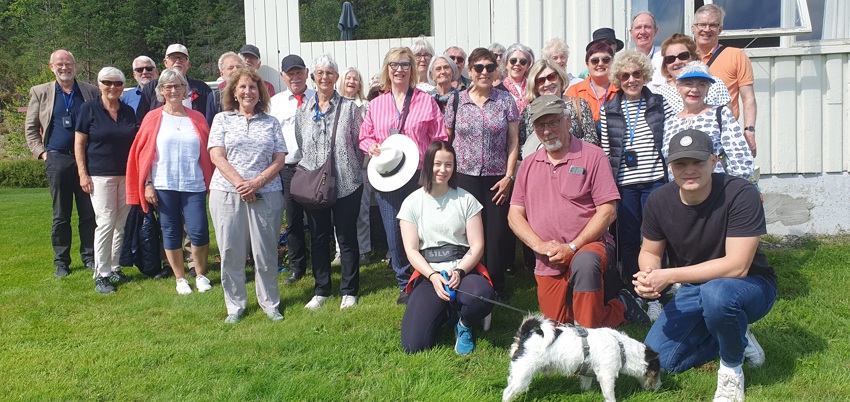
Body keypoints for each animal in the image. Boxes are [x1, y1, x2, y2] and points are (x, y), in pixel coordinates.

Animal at [500, 316, 660, 400]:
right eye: (657, 372)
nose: (659, 387)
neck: (622, 348)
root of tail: (525, 335)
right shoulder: (606, 376)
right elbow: (609, 394)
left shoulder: (587, 373)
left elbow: (585, 385)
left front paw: (587, 395)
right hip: (524, 374)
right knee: (507, 392)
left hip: (518, 371)